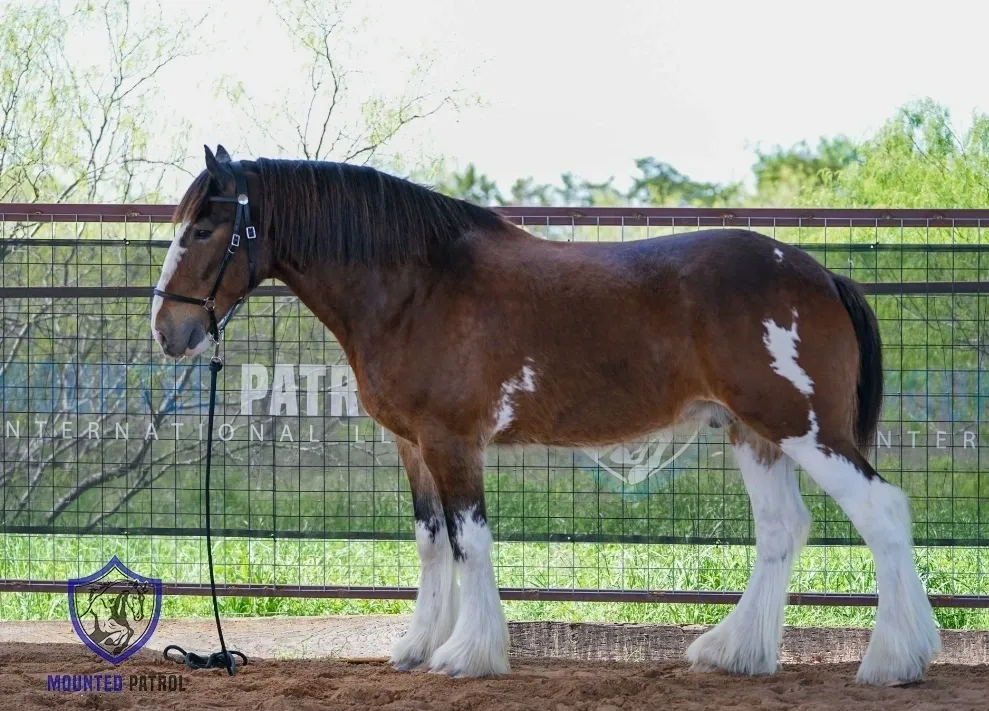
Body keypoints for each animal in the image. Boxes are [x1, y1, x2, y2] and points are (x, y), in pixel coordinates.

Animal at [150, 145, 940, 686]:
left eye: (202, 230)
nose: (167, 331)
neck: (417, 284)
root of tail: (820, 273)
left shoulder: (452, 441)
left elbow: (470, 541)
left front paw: (469, 653)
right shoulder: (412, 445)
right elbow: (431, 543)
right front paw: (416, 646)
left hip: (807, 430)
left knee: (884, 512)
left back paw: (893, 660)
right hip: (756, 433)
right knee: (782, 530)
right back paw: (734, 650)